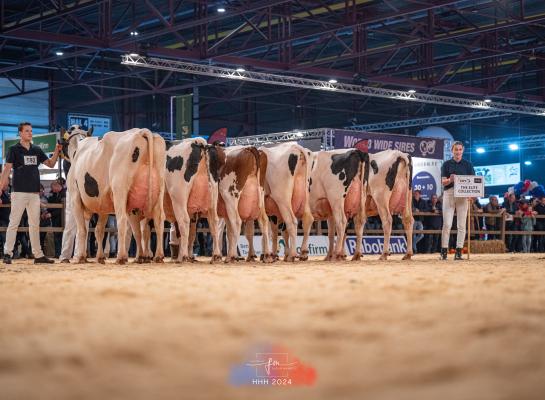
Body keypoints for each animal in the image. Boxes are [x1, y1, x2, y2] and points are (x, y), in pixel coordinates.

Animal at [62, 124, 166, 262]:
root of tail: (141, 132)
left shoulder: (75, 198)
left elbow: (82, 229)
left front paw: (80, 257)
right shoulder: (103, 205)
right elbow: (99, 230)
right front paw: (100, 257)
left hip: (119, 190)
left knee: (121, 220)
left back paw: (121, 257)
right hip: (158, 190)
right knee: (156, 221)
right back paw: (155, 255)